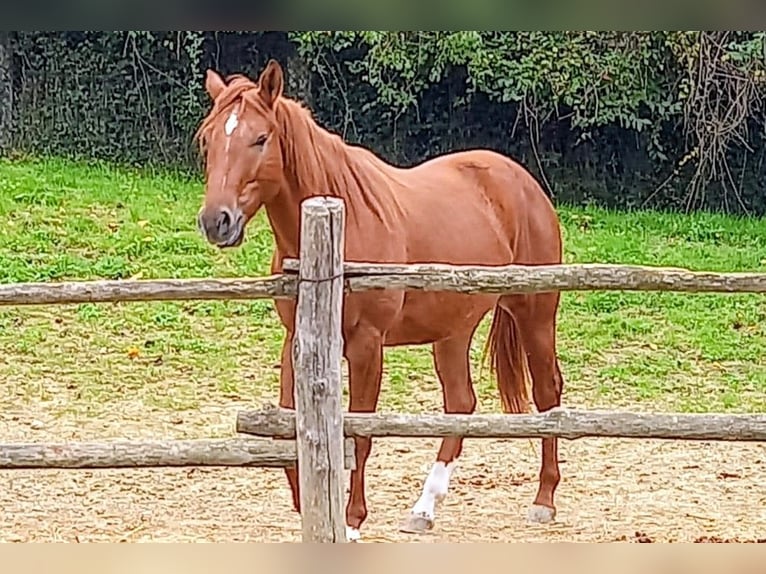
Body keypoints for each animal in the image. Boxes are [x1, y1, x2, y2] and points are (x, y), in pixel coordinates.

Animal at [194, 59, 565, 541]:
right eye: (208, 139)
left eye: (260, 138)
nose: (216, 221)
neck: (341, 223)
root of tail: (523, 182)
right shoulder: (298, 339)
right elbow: (290, 424)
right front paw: (305, 501)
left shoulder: (367, 346)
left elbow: (361, 434)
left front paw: (350, 521)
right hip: (452, 331)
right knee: (460, 404)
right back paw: (424, 508)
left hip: (535, 314)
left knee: (547, 394)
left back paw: (544, 499)